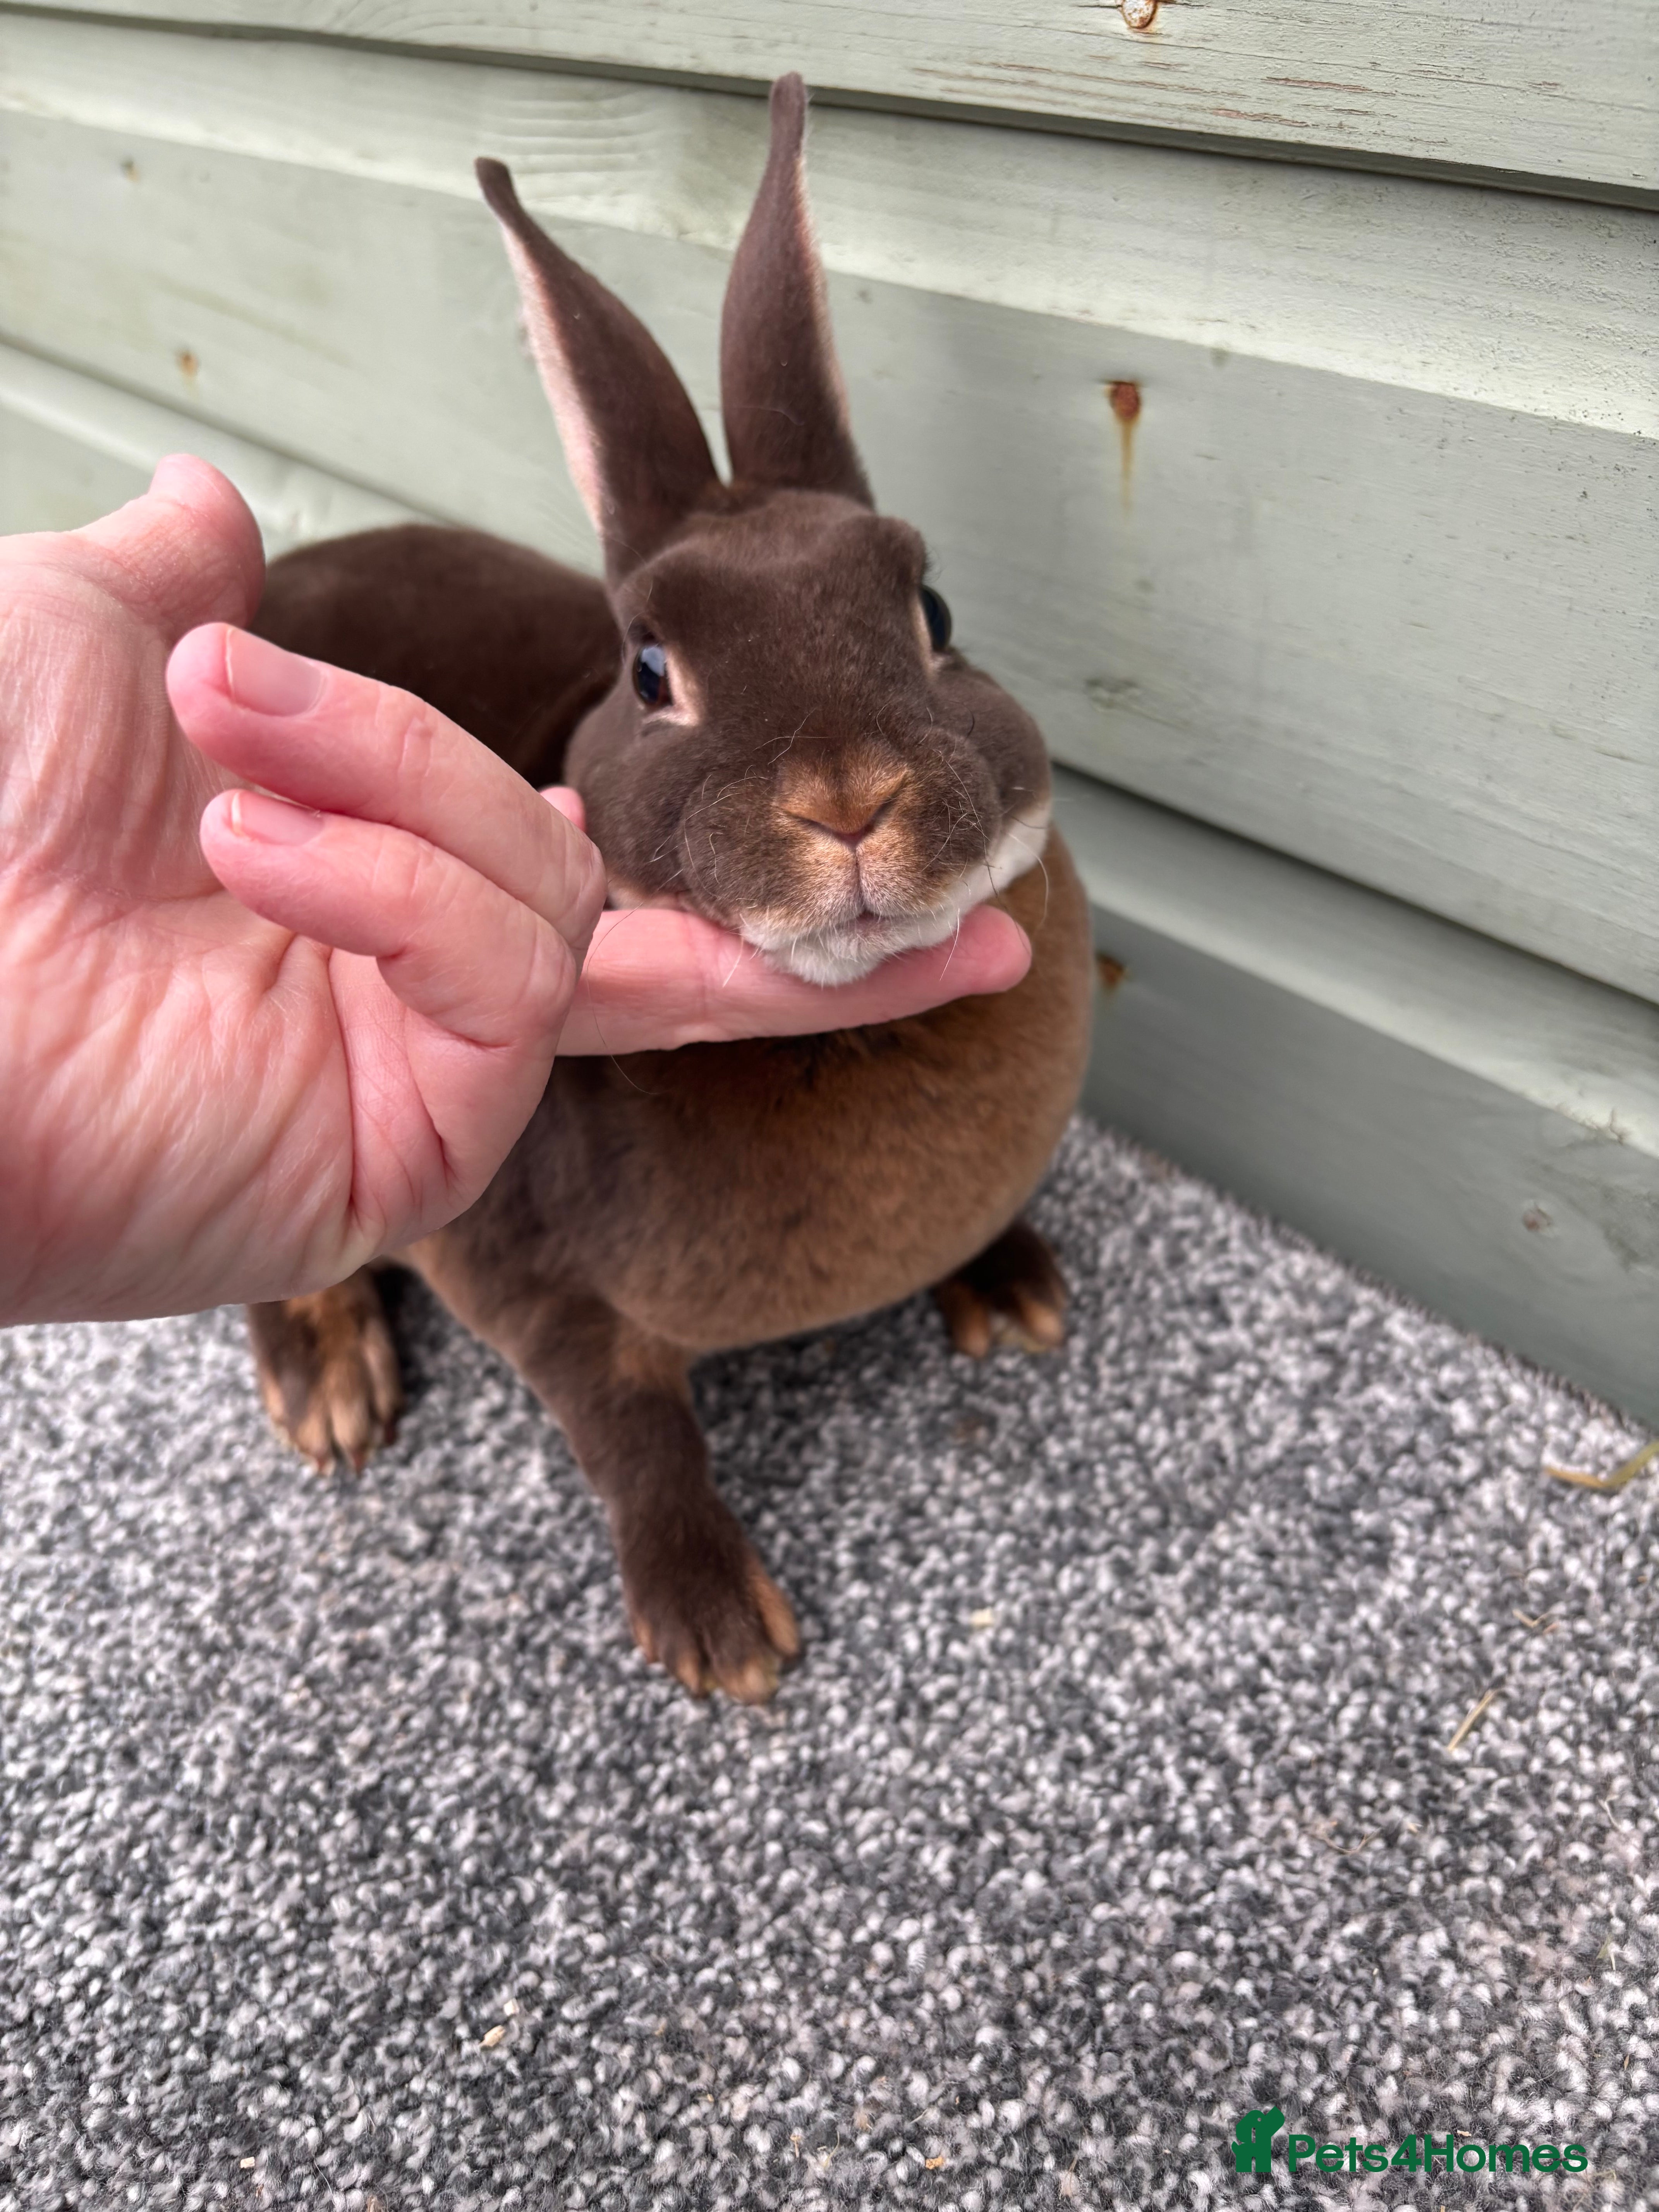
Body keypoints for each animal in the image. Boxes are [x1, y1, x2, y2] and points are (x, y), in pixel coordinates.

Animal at [245, 74, 1096, 1703]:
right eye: (650, 672)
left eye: (931, 607)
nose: (847, 799)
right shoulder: (534, 1286)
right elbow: (629, 1433)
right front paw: (720, 1634)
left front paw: (1015, 1291)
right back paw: (328, 1388)